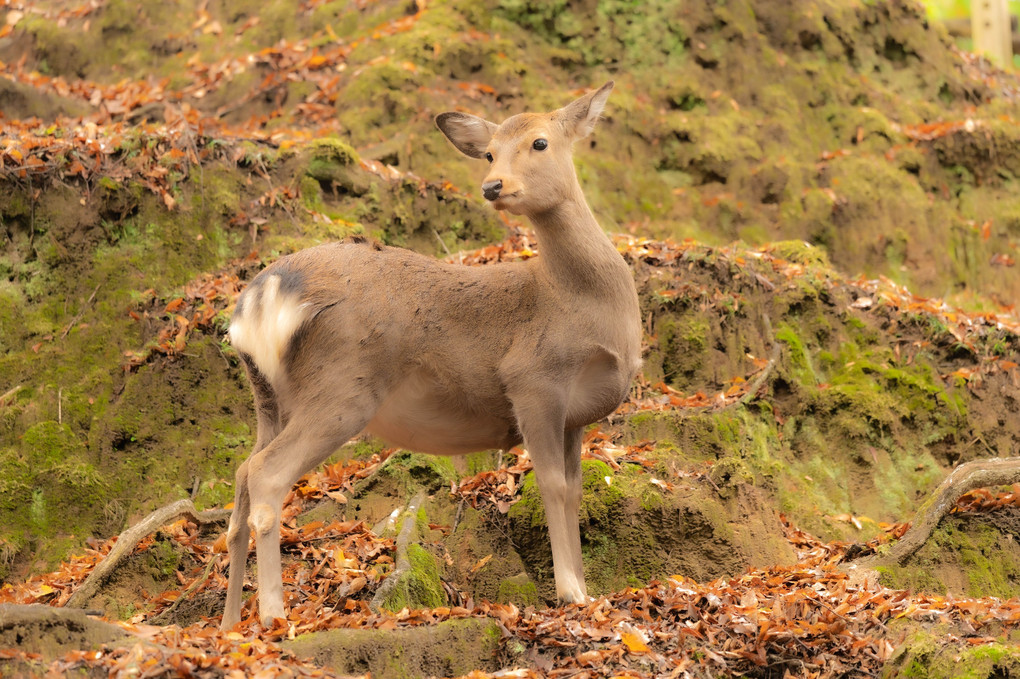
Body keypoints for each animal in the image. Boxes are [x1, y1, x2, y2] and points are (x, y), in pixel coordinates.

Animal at [220, 80, 640, 628]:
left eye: (540, 142)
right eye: (490, 152)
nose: (493, 186)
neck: (580, 303)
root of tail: (263, 293)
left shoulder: (575, 417)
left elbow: (574, 491)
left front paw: (586, 587)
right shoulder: (533, 380)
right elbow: (549, 485)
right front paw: (572, 592)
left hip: (268, 396)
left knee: (241, 475)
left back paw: (228, 623)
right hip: (343, 385)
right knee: (267, 475)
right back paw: (273, 615)